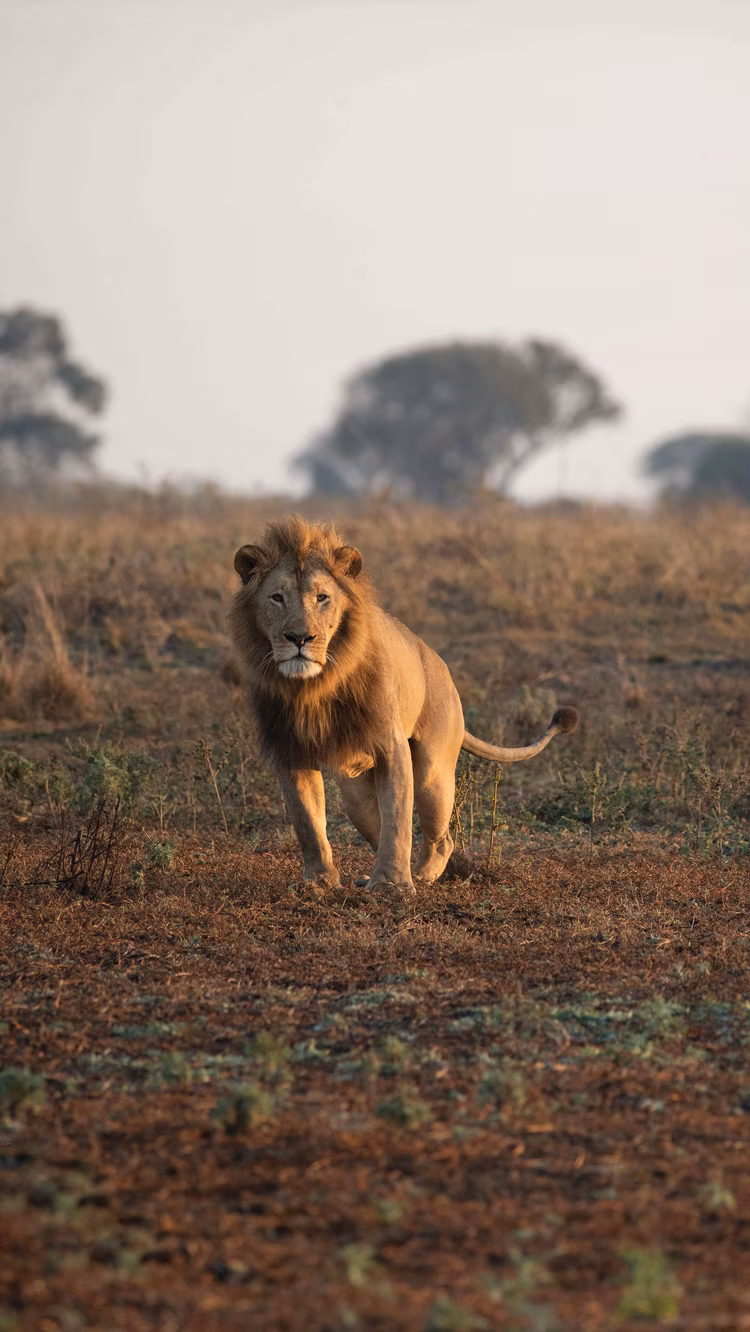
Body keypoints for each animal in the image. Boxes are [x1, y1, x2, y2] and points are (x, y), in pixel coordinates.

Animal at [228, 515, 578, 897]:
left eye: (322, 598)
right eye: (277, 598)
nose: (299, 638)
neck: (313, 687)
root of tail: (442, 668)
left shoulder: (389, 744)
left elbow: (397, 819)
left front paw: (391, 885)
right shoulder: (289, 748)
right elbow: (308, 822)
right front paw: (318, 882)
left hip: (432, 774)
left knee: (441, 837)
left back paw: (420, 878)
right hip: (356, 794)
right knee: (375, 824)